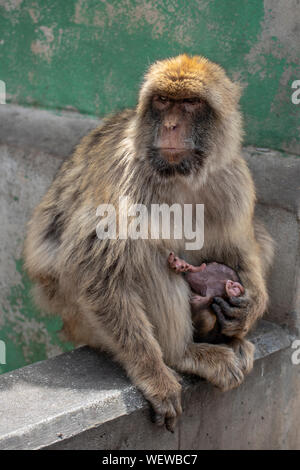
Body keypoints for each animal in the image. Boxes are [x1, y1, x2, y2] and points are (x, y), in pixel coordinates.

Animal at [24, 54, 274, 430]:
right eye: (163, 101)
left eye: (189, 104)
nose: (170, 125)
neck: (182, 175)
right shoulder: (128, 176)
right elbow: (96, 272)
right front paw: (154, 376)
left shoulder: (233, 177)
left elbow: (240, 244)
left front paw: (249, 308)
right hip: (77, 314)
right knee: (146, 260)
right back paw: (183, 353)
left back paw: (221, 330)